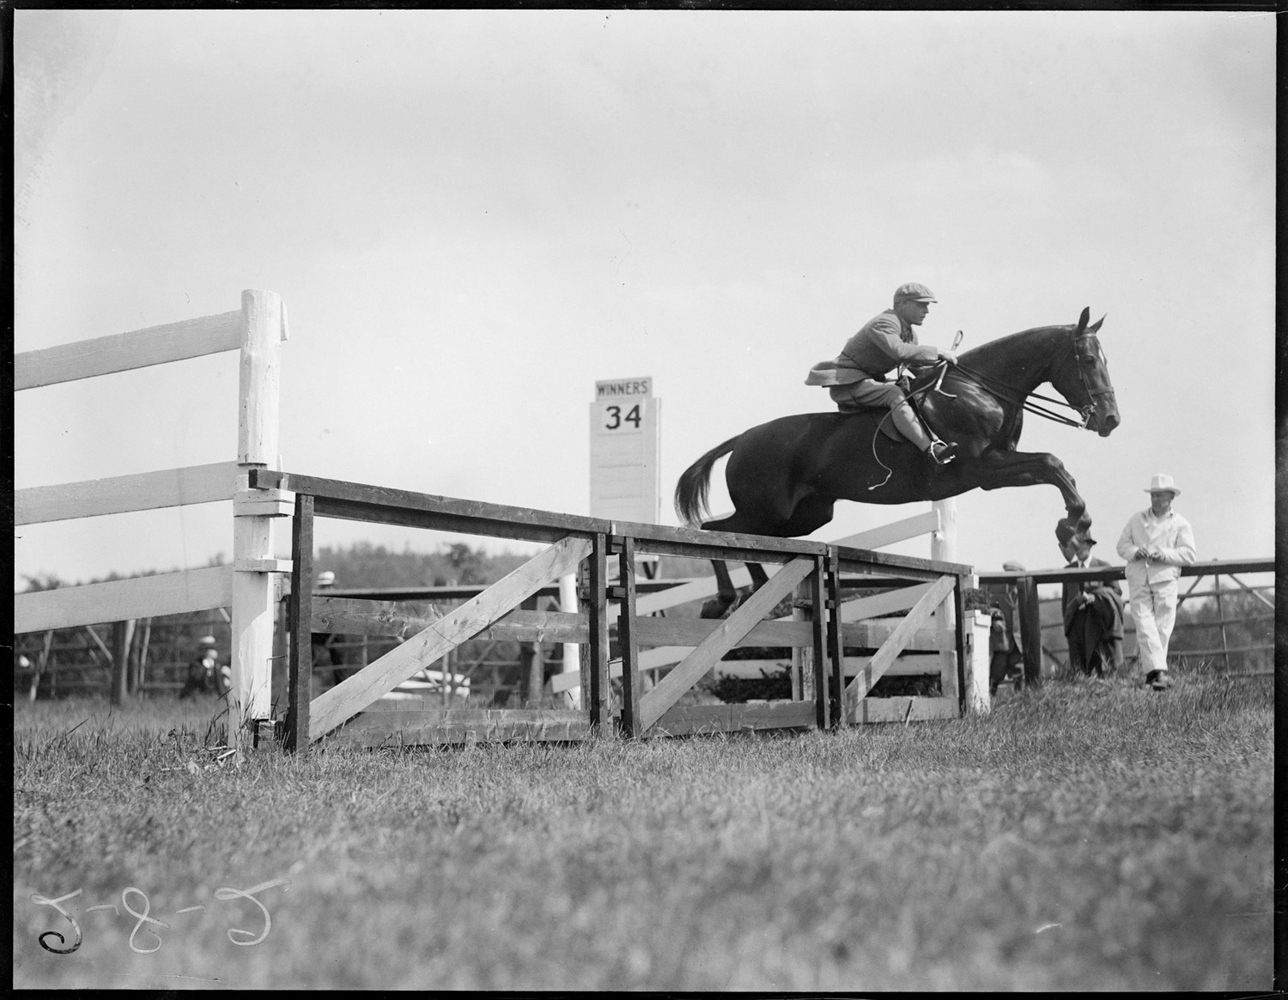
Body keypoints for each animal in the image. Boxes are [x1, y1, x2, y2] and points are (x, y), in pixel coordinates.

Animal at [674, 307, 1117, 613]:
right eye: (1088, 361)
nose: (1110, 420)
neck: (980, 390)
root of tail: (742, 440)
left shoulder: (996, 468)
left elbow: (1055, 468)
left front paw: (1074, 529)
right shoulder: (983, 468)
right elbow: (1051, 462)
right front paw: (1073, 530)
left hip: (804, 517)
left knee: (746, 540)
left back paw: (753, 595)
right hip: (769, 511)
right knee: (715, 531)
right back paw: (730, 597)